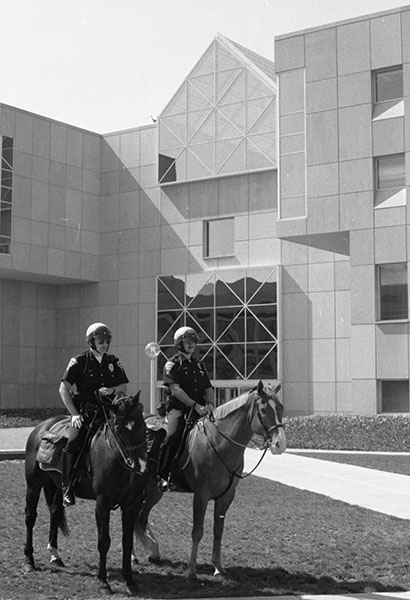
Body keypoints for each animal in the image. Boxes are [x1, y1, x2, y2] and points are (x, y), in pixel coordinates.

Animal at [24, 394, 147, 596]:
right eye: (119, 427)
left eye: (142, 423)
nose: (140, 466)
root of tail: (41, 427)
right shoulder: (102, 504)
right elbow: (104, 541)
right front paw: (103, 582)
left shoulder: (132, 504)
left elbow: (127, 542)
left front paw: (130, 580)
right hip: (33, 484)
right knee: (30, 517)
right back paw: (29, 561)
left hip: (58, 486)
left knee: (55, 511)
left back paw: (55, 556)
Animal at [135, 380, 286, 580]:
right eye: (263, 409)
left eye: (281, 407)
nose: (280, 444)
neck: (219, 443)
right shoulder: (201, 494)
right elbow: (197, 531)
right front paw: (191, 570)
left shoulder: (226, 496)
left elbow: (218, 530)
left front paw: (218, 567)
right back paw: (134, 556)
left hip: (153, 490)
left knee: (141, 517)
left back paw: (153, 552)